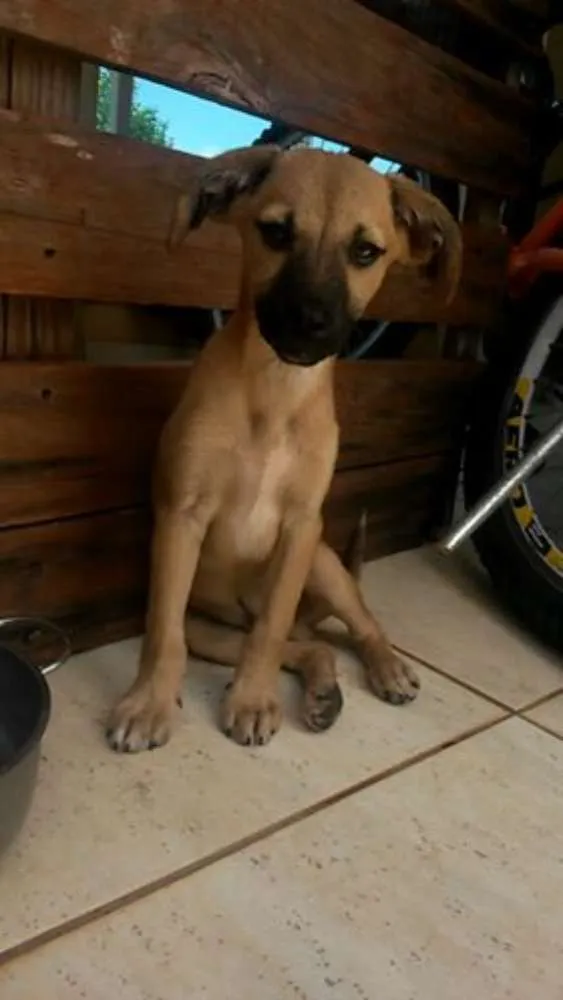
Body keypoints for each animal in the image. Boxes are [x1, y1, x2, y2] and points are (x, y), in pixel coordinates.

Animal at [107, 146, 462, 752]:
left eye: (365, 252)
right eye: (275, 232)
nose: (308, 322)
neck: (275, 393)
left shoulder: (301, 527)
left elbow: (269, 630)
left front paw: (251, 699)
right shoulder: (182, 517)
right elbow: (162, 631)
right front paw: (149, 703)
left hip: (322, 563)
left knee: (351, 624)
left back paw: (386, 667)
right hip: (212, 630)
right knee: (308, 646)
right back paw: (322, 691)